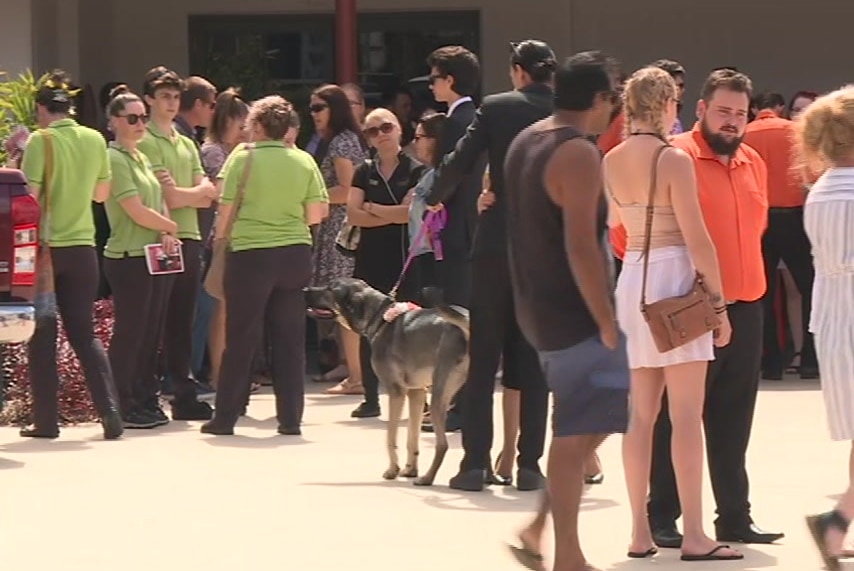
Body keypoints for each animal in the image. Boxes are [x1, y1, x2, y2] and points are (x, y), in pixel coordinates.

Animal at [306, 280, 472, 484]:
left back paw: (427, 478)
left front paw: (393, 469)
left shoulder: (396, 392)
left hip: (438, 398)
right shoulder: (416, 392)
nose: (305, 289)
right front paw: (409, 469)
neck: (381, 319)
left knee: (442, 444)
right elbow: (411, 438)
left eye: (330, 288)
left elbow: (390, 437)